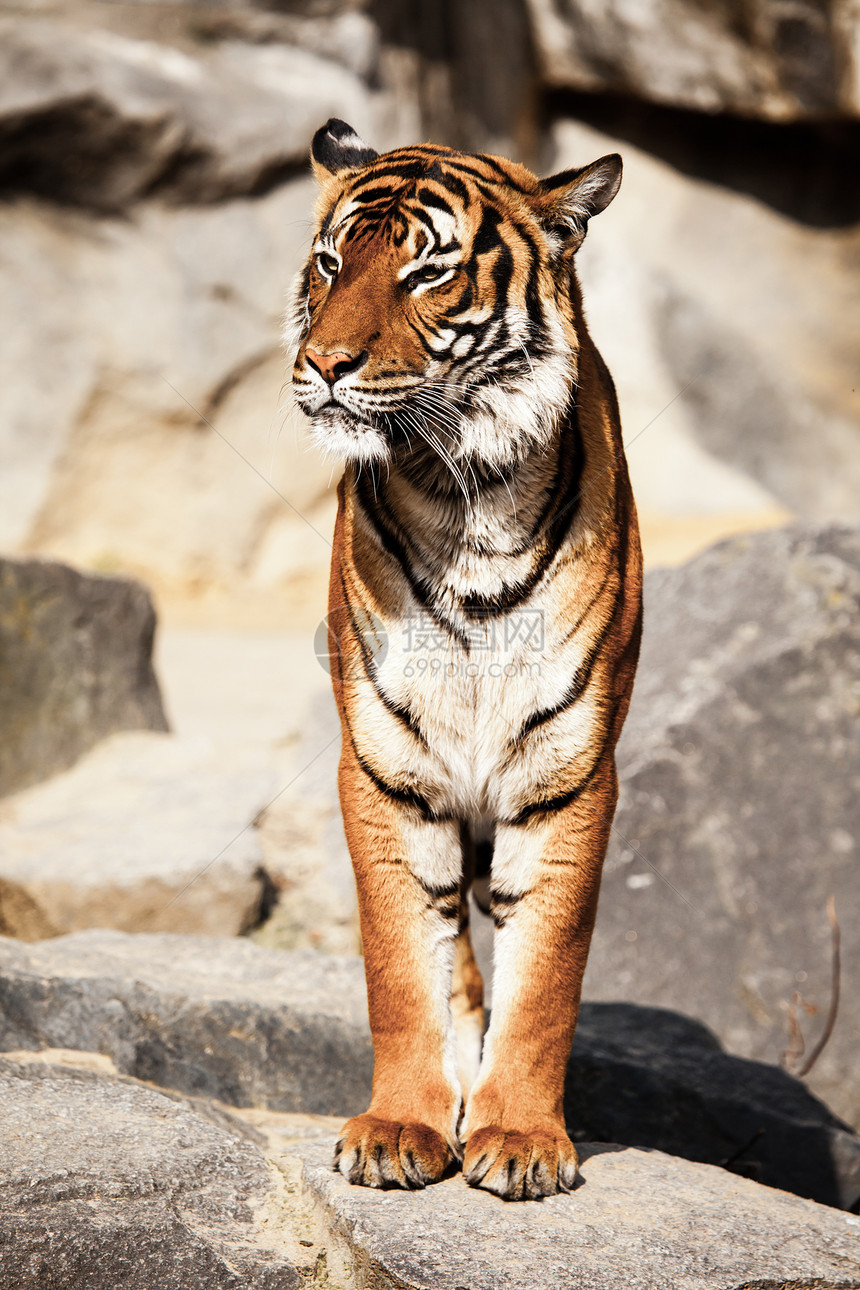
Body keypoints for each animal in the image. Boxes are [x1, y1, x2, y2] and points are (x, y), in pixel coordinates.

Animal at [292, 118, 642, 1197]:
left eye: (427, 274)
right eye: (332, 263)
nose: (322, 363)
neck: (463, 495)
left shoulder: (570, 775)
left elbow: (545, 979)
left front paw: (521, 1139)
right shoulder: (387, 772)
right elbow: (404, 968)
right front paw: (399, 1127)